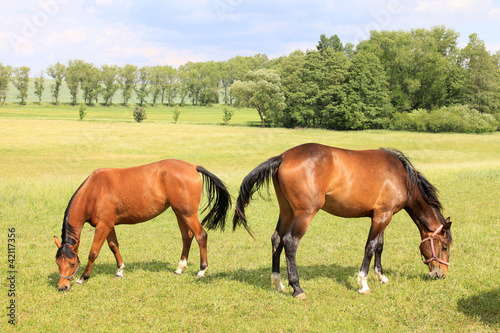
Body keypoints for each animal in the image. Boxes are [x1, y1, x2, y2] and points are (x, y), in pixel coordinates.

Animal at [54, 158, 230, 290]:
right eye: (57, 263)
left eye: (72, 263)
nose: (62, 287)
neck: (94, 191)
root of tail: (193, 166)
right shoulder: (109, 225)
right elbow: (114, 246)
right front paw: (120, 270)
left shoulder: (103, 226)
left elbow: (93, 252)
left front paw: (83, 277)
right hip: (179, 213)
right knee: (187, 237)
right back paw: (180, 268)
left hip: (188, 214)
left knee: (201, 236)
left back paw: (202, 270)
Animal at [234, 143, 454, 298]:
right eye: (444, 246)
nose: (441, 274)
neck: (402, 176)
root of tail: (283, 157)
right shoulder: (382, 217)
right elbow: (370, 247)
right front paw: (363, 283)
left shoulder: (383, 215)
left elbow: (380, 246)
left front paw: (381, 276)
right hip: (304, 214)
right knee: (290, 242)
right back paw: (297, 288)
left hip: (287, 211)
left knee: (276, 240)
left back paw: (277, 283)